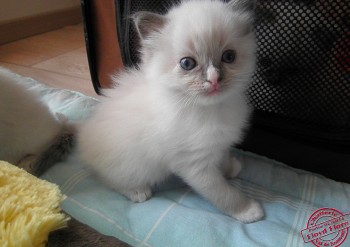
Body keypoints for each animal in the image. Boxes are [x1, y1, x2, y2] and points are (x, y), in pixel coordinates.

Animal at [76, 0, 262, 224]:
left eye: (229, 57)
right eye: (187, 63)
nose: (214, 79)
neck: (211, 110)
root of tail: (83, 141)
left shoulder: (218, 144)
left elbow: (223, 156)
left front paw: (229, 168)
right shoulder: (195, 165)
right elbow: (223, 193)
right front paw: (247, 210)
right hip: (130, 166)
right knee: (107, 179)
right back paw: (137, 191)